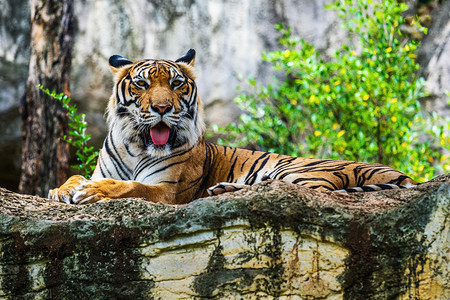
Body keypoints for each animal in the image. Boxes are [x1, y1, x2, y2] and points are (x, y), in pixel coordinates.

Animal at [48, 49, 418, 204]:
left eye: (176, 83)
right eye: (141, 84)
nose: (162, 108)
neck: (136, 144)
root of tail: (403, 174)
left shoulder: (167, 189)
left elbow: (130, 187)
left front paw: (94, 192)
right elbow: (77, 175)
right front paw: (62, 189)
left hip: (303, 172)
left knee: (299, 191)